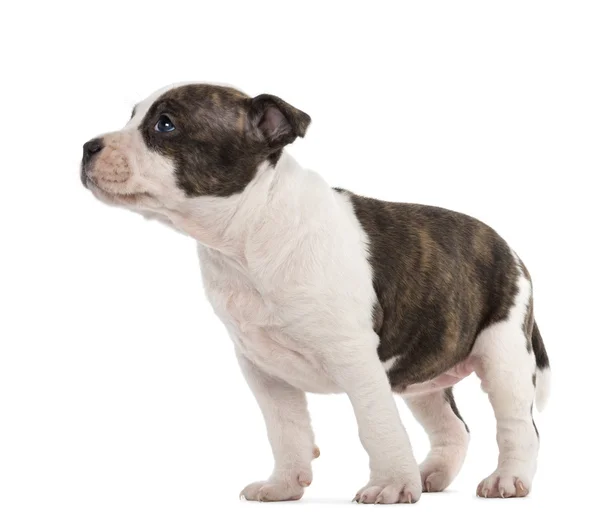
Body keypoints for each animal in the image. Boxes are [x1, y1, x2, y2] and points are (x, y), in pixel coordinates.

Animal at [82, 81, 552, 500]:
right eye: (133, 116)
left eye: (165, 125)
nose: (88, 146)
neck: (248, 236)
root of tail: (510, 250)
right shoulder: (263, 369)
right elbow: (285, 428)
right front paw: (284, 486)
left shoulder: (356, 360)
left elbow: (377, 425)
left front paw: (391, 486)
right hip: (423, 376)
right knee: (453, 427)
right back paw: (431, 475)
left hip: (505, 355)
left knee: (518, 426)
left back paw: (507, 480)